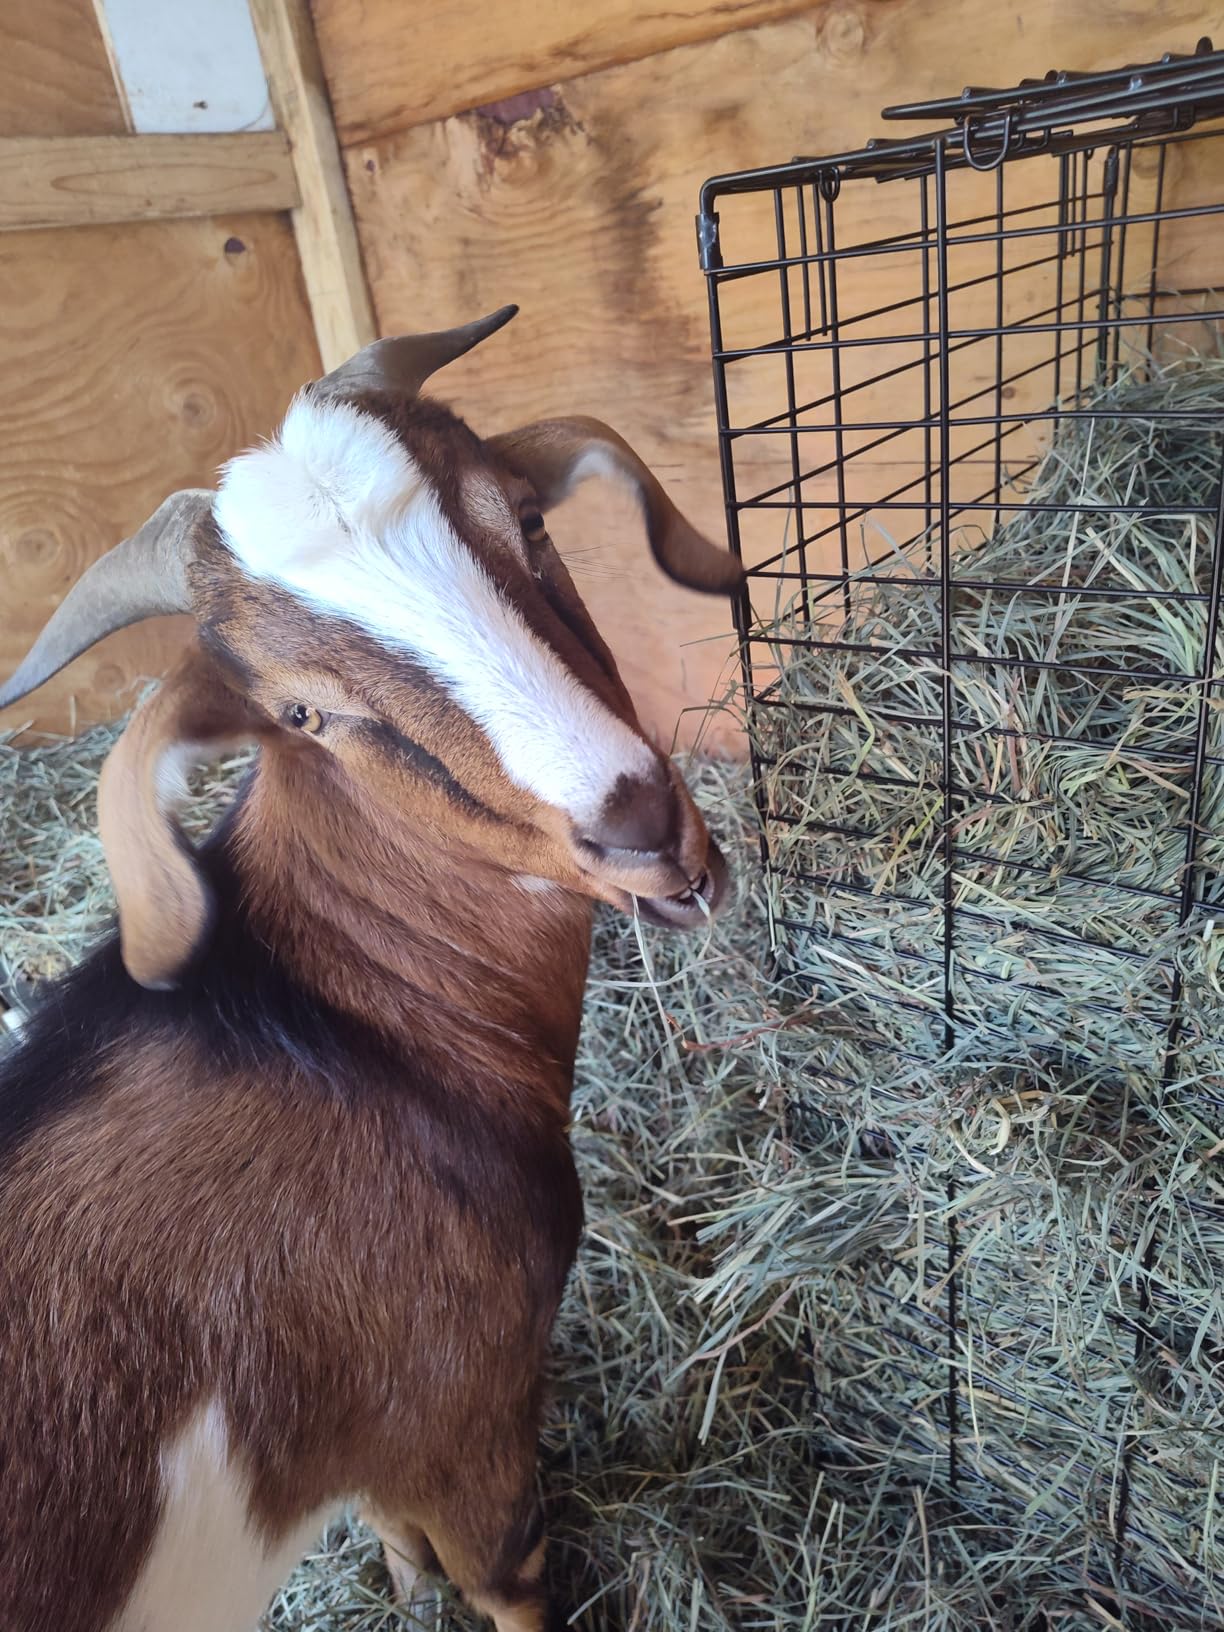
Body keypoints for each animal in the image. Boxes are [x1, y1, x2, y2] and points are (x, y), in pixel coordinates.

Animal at [0, 305, 741, 1632]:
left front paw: (397, 1583)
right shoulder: (462, 1415)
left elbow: (391, 1527)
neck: (339, 1028)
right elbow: (508, 1579)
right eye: (302, 714)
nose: (642, 824)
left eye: (530, 520)